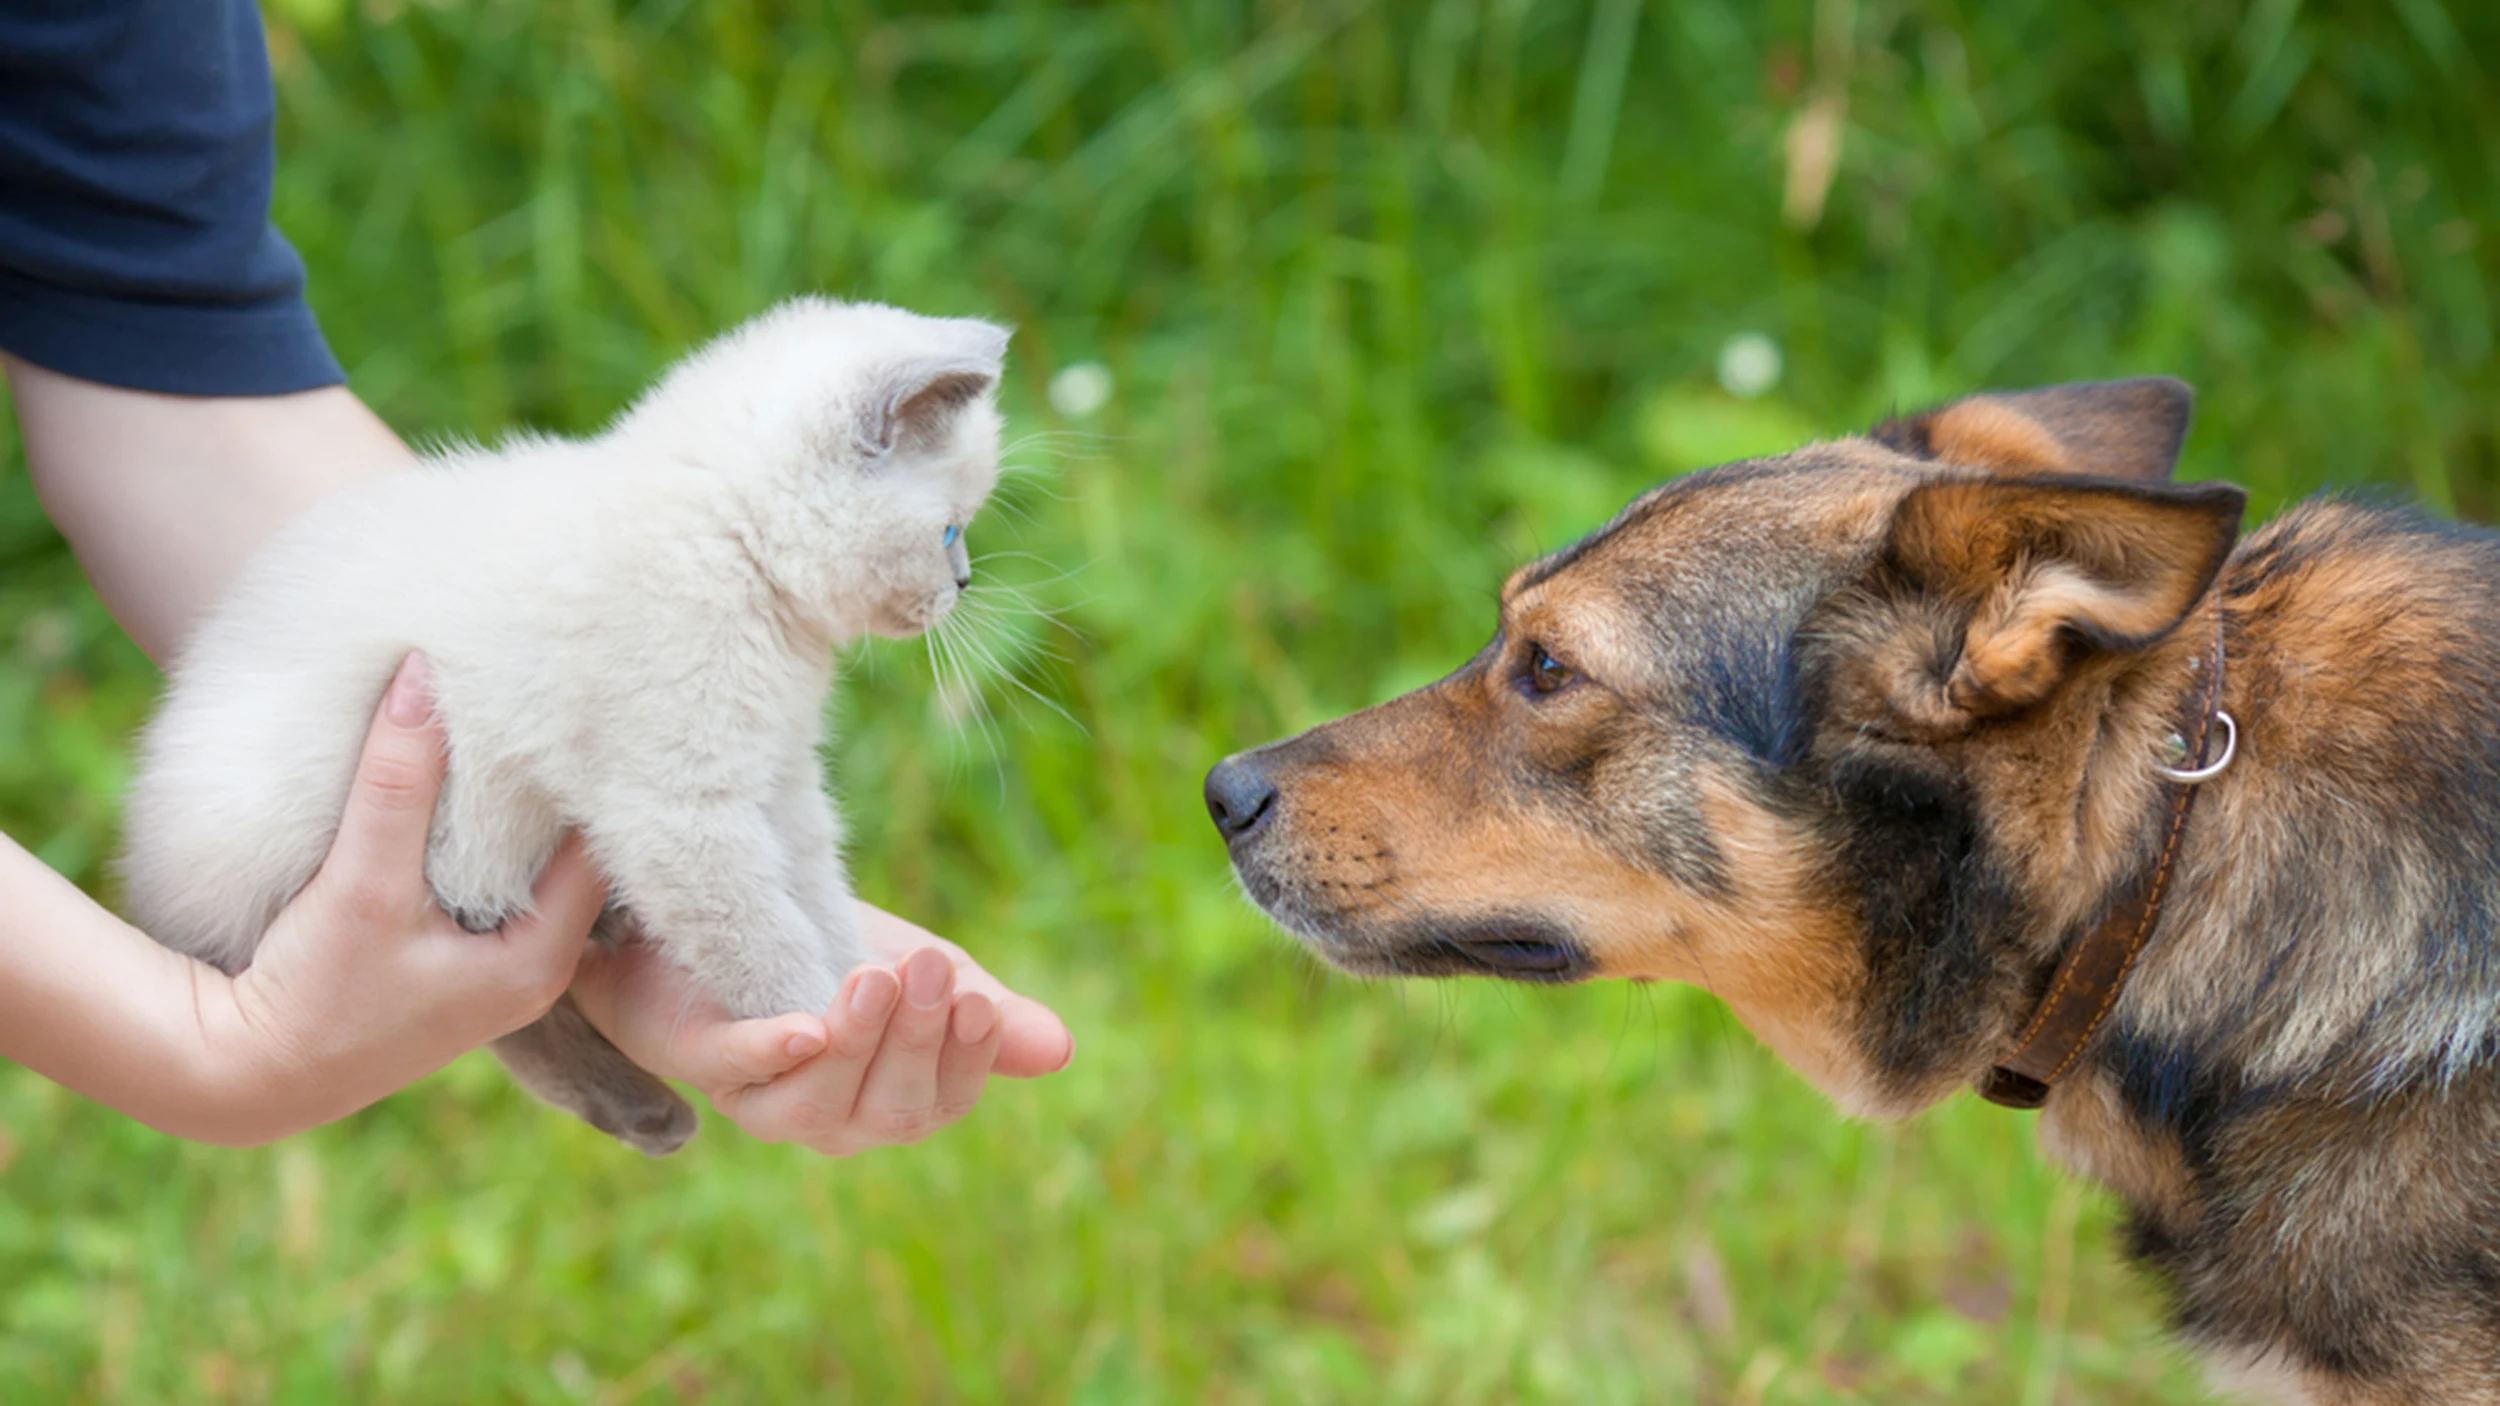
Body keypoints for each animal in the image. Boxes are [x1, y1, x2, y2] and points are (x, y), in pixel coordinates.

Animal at [112, 295, 1000, 1150]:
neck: (732, 550)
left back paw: (644, 1110)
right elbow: (763, 935)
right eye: (950, 529)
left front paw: (864, 995)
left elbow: (817, 896)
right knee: (491, 1015)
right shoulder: (680, 809)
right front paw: (828, 1029)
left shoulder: (778, 779)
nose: (962, 583)